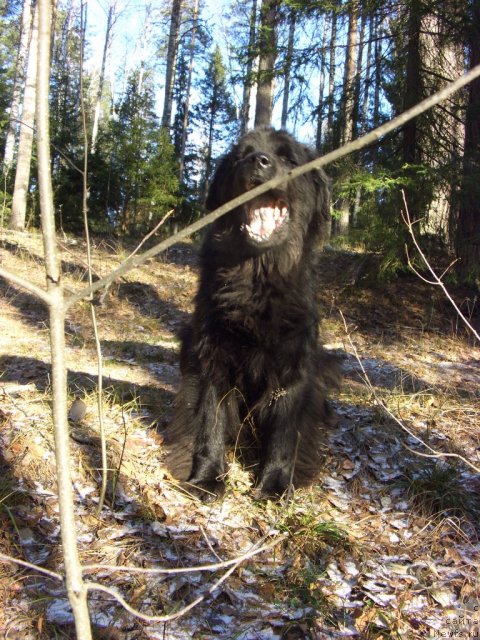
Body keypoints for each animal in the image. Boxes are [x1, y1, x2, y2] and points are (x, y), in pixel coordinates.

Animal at [167, 127, 340, 502]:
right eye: (239, 157)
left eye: (287, 157)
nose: (257, 161)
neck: (258, 277)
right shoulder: (211, 358)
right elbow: (210, 422)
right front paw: (207, 477)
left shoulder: (293, 366)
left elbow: (283, 434)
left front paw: (274, 484)